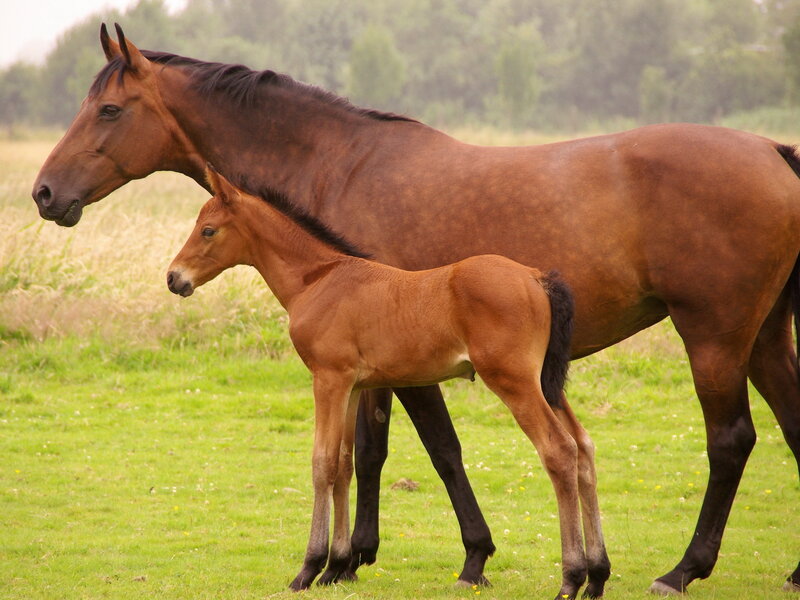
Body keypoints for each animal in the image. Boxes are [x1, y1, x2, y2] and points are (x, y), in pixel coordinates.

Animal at [166, 165, 599, 599]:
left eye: (208, 230)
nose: (173, 278)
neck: (317, 280)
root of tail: (536, 277)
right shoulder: (353, 387)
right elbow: (343, 464)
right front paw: (336, 566)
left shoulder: (328, 379)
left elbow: (322, 463)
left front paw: (308, 569)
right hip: (546, 383)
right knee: (583, 447)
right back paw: (597, 574)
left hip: (514, 381)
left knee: (558, 450)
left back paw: (571, 579)